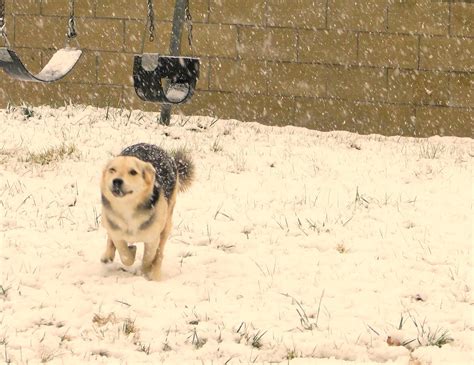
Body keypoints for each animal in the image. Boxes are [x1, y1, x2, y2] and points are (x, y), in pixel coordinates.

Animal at [100, 142, 194, 278]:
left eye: (133, 172)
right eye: (112, 170)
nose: (117, 181)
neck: (127, 208)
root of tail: (151, 145)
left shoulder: (152, 238)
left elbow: (148, 259)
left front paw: (145, 271)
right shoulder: (116, 232)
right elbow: (125, 255)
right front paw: (132, 251)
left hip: (166, 223)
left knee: (160, 252)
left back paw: (155, 271)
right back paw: (107, 255)